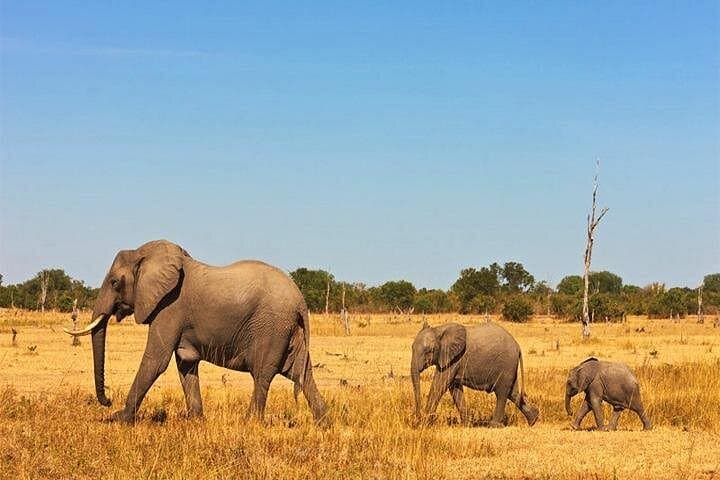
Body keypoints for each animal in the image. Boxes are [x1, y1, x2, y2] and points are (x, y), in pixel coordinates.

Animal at [64, 239, 327, 424]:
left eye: (114, 283)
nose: (108, 401)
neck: (145, 254)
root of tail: (300, 300)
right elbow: (185, 364)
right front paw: (196, 420)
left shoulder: (169, 306)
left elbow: (156, 360)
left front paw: (121, 419)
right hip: (287, 330)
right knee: (300, 373)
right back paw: (323, 422)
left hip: (271, 327)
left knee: (263, 373)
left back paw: (250, 422)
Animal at [410, 321, 539, 427]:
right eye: (412, 348)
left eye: (429, 351)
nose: (417, 418)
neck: (438, 329)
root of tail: (517, 346)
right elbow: (454, 388)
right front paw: (466, 424)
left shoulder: (454, 358)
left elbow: (440, 384)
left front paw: (425, 423)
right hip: (509, 366)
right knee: (513, 392)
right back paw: (533, 419)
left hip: (506, 363)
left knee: (502, 393)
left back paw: (494, 425)